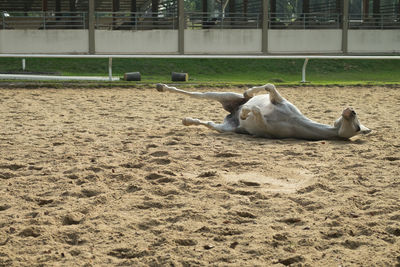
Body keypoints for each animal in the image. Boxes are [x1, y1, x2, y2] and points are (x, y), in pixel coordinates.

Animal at [155, 84, 370, 141]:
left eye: (358, 128)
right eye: (358, 122)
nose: (351, 109)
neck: (293, 121)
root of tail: (229, 114)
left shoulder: (263, 127)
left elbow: (256, 110)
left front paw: (245, 113)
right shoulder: (278, 100)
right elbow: (269, 86)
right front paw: (249, 92)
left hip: (225, 128)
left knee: (207, 123)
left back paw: (187, 120)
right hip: (222, 95)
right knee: (194, 94)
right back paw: (162, 87)